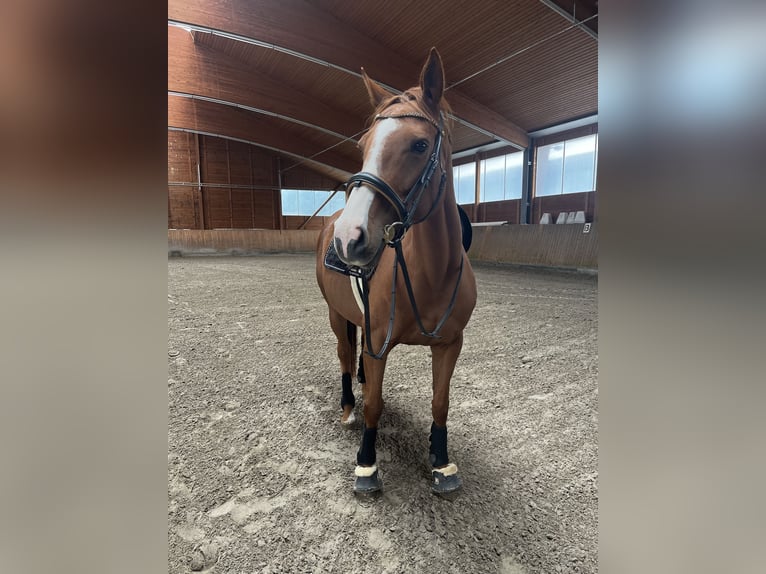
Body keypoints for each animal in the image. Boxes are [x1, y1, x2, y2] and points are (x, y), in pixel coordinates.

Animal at [315, 48, 477, 495]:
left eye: (419, 144)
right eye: (363, 145)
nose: (349, 237)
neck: (431, 275)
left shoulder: (450, 344)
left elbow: (441, 402)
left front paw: (441, 462)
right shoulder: (378, 343)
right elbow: (374, 403)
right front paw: (366, 465)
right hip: (336, 316)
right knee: (344, 356)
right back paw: (347, 407)